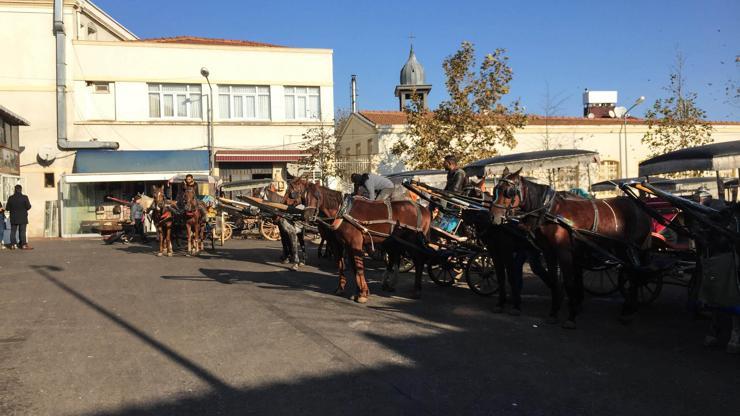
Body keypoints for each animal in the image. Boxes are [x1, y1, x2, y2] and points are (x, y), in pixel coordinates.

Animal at [294, 179, 434, 302]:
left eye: (317, 196)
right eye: (303, 196)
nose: (306, 216)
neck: (343, 212)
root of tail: (423, 209)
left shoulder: (355, 244)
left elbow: (359, 267)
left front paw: (362, 294)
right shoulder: (344, 244)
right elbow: (347, 267)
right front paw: (351, 290)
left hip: (412, 242)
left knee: (419, 260)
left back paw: (416, 290)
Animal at [492, 168, 652, 328]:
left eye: (509, 192)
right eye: (496, 190)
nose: (494, 217)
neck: (550, 212)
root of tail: (640, 206)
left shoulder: (564, 252)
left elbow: (569, 283)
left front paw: (571, 317)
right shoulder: (549, 252)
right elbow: (554, 281)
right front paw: (553, 313)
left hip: (627, 249)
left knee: (634, 274)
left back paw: (628, 311)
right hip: (622, 249)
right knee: (633, 273)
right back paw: (629, 308)